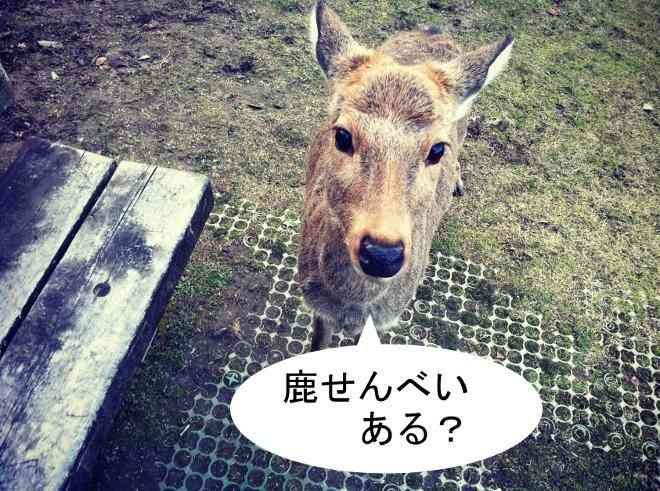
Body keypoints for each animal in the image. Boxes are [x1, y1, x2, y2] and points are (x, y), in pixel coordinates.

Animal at [298, 0, 513, 351]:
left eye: (438, 149)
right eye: (342, 135)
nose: (382, 254)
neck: (352, 309)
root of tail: (434, 30)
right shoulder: (316, 303)